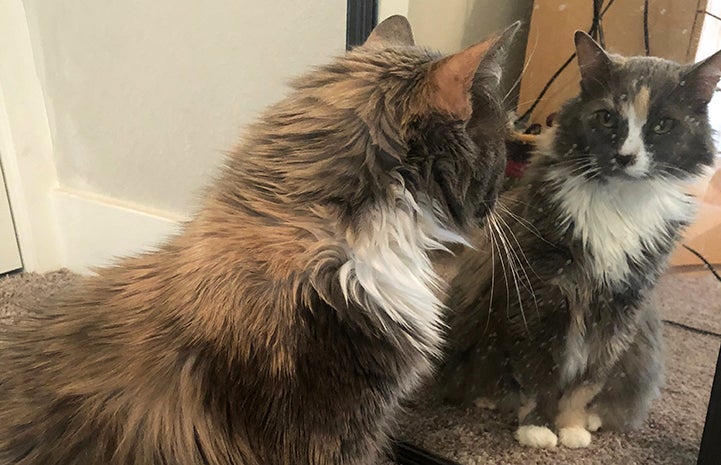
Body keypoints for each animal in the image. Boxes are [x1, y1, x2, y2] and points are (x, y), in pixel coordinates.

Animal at [434, 29, 720, 450]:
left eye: (662, 125)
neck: (619, 201)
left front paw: (570, 426)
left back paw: (592, 420)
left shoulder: (622, 307)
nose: (626, 157)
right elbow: (543, 374)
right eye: (606, 118)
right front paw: (538, 427)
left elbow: (586, 382)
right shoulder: (544, 292)